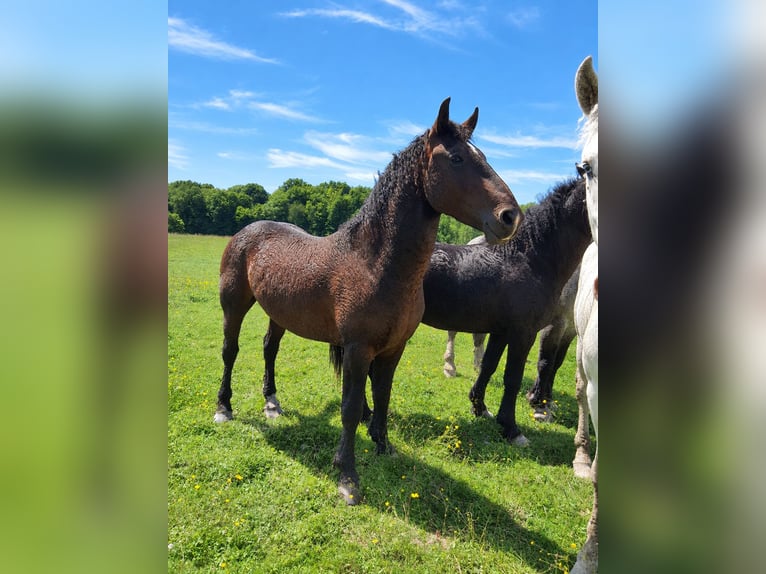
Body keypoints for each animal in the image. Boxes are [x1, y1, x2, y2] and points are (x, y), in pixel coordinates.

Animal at [214, 98, 522, 505]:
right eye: (457, 158)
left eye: (483, 156)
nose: (510, 217)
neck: (373, 264)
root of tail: (248, 231)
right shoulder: (358, 350)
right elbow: (351, 407)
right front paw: (347, 476)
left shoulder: (393, 349)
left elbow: (383, 395)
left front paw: (383, 445)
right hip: (234, 304)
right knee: (230, 351)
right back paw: (224, 407)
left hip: (278, 313)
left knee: (269, 349)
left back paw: (272, 403)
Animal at [441, 264, 580, 424]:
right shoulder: (555, 323)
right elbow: (546, 363)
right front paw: (540, 406)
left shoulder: (570, 329)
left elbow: (556, 364)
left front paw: (547, 400)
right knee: (453, 332)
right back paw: (450, 366)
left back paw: (477, 363)